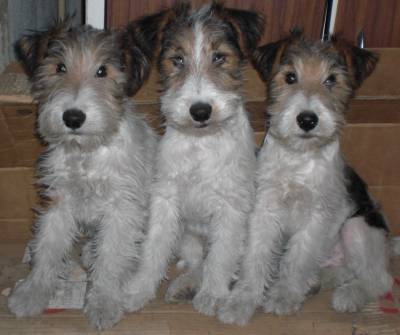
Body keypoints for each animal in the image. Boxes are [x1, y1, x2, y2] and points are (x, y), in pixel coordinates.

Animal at [7, 19, 158, 330]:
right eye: (59, 67)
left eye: (103, 71)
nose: (73, 117)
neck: (87, 152)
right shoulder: (58, 200)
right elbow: (47, 248)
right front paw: (32, 292)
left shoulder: (122, 208)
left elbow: (111, 258)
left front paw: (104, 302)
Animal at [217, 30, 392, 326]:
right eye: (290, 77)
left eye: (331, 79)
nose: (307, 120)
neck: (298, 157)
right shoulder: (264, 208)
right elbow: (256, 257)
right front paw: (241, 302)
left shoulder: (316, 214)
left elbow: (297, 259)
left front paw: (283, 297)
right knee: (344, 270)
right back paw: (318, 283)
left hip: (355, 227)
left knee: (379, 279)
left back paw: (347, 297)